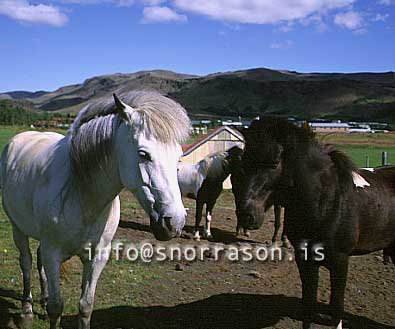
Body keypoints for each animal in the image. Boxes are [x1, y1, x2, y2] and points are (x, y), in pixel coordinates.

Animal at [0, 90, 192, 328]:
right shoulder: (53, 252)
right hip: (18, 228)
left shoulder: (98, 256)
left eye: (178, 157)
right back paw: (27, 311)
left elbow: (85, 306)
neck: (83, 195)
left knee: (37, 260)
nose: (174, 222)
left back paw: (42, 301)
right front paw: (42, 310)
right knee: (25, 262)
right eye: (143, 154)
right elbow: (56, 308)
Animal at [234, 118, 395, 328]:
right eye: (243, 162)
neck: (325, 203)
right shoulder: (305, 259)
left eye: (275, 163)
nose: (247, 215)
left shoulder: (340, 261)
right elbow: (308, 306)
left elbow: (336, 309)